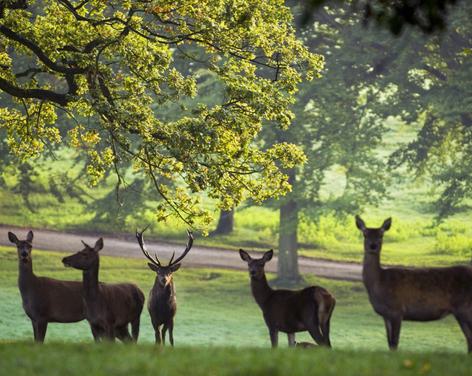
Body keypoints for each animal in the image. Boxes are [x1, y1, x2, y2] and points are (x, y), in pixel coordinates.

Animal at [356, 216, 472, 352]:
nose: (373, 246)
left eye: (381, 234)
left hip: (466, 308)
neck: (380, 282)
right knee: (469, 340)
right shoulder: (386, 315)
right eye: (365, 234)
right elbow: (389, 343)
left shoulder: (397, 310)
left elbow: (394, 343)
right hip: (460, 313)